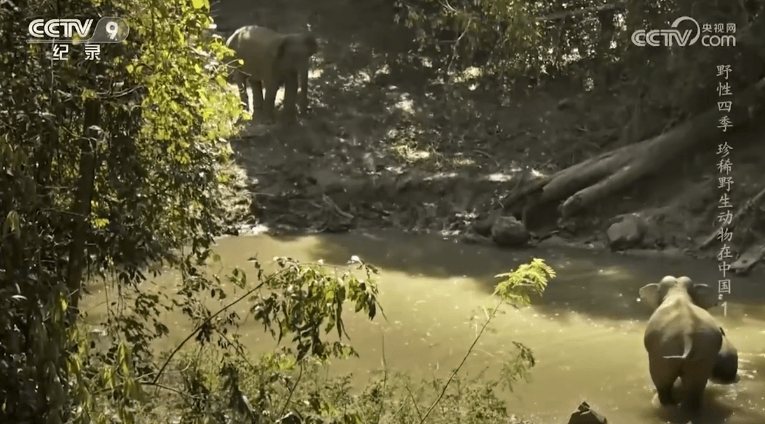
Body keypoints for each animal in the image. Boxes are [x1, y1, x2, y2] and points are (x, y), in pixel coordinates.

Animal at [640, 274, 740, 410]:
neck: (678, 291)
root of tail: (687, 335)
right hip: (702, 353)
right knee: (695, 386)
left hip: (663, 351)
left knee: (663, 383)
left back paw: (668, 405)